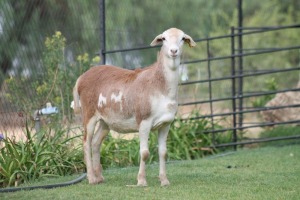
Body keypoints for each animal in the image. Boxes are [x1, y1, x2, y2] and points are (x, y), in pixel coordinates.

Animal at [72, 27, 197, 186]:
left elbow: (163, 152)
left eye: (182, 38)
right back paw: (92, 178)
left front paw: (164, 181)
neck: (161, 86)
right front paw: (141, 181)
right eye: (163, 39)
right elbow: (144, 153)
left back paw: (99, 177)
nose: (173, 51)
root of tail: (81, 78)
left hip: (106, 121)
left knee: (96, 142)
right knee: (86, 142)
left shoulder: (166, 124)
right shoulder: (143, 121)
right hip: (89, 114)